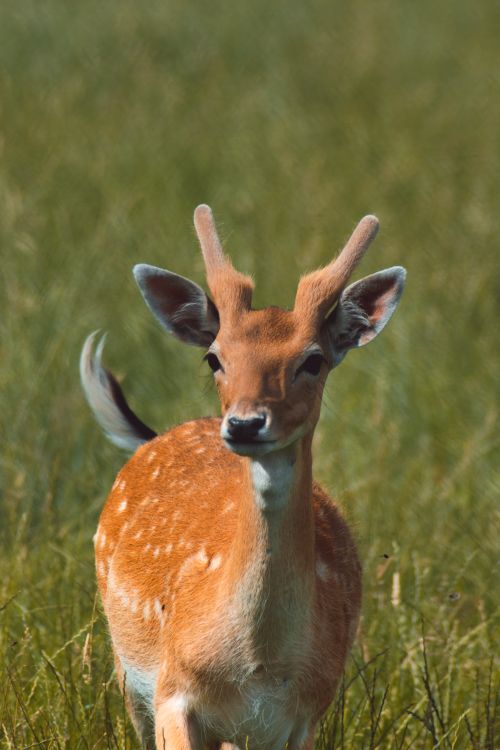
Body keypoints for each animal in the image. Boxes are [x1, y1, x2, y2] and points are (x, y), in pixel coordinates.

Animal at [80, 204, 406, 750]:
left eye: (313, 360)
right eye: (215, 357)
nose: (246, 424)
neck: (258, 665)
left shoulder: (304, 715)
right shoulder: (173, 692)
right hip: (127, 668)